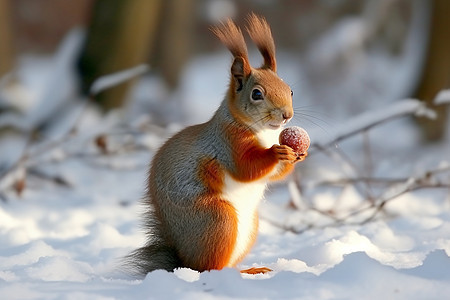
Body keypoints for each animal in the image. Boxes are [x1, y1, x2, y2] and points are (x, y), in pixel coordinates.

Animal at [124, 13, 306, 276]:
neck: (264, 133)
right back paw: (240, 272)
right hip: (218, 220)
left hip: (248, 226)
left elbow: (274, 175)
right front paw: (276, 153)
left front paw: (297, 155)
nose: (286, 115)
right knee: (209, 268)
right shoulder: (227, 143)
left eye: (290, 90)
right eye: (257, 94)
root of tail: (184, 260)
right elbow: (246, 168)